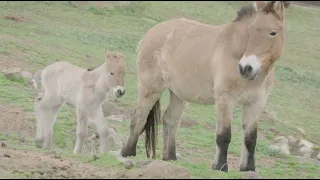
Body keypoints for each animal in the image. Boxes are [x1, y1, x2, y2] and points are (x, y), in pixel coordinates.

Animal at [121, 1, 292, 173]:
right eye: (250, 32)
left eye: (273, 33)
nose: (246, 68)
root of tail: (151, 33)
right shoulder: (225, 99)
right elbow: (224, 135)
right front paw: (220, 167)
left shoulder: (256, 103)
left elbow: (250, 138)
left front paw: (248, 168)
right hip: (150, 89)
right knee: (139, 118)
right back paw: (128, 153)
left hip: (178, 94)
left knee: (170, 120)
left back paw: (170, 157)